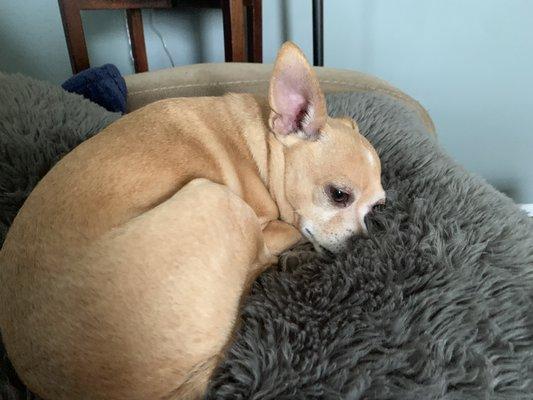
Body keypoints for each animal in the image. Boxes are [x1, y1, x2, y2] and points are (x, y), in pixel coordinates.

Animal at [0, 42, 382, 398]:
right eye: (338, 194)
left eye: (376, 207)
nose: (364, 242)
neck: (263, 143)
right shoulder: (268, 224)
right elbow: (287, 231)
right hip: (215, 198)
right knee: (261, 259)